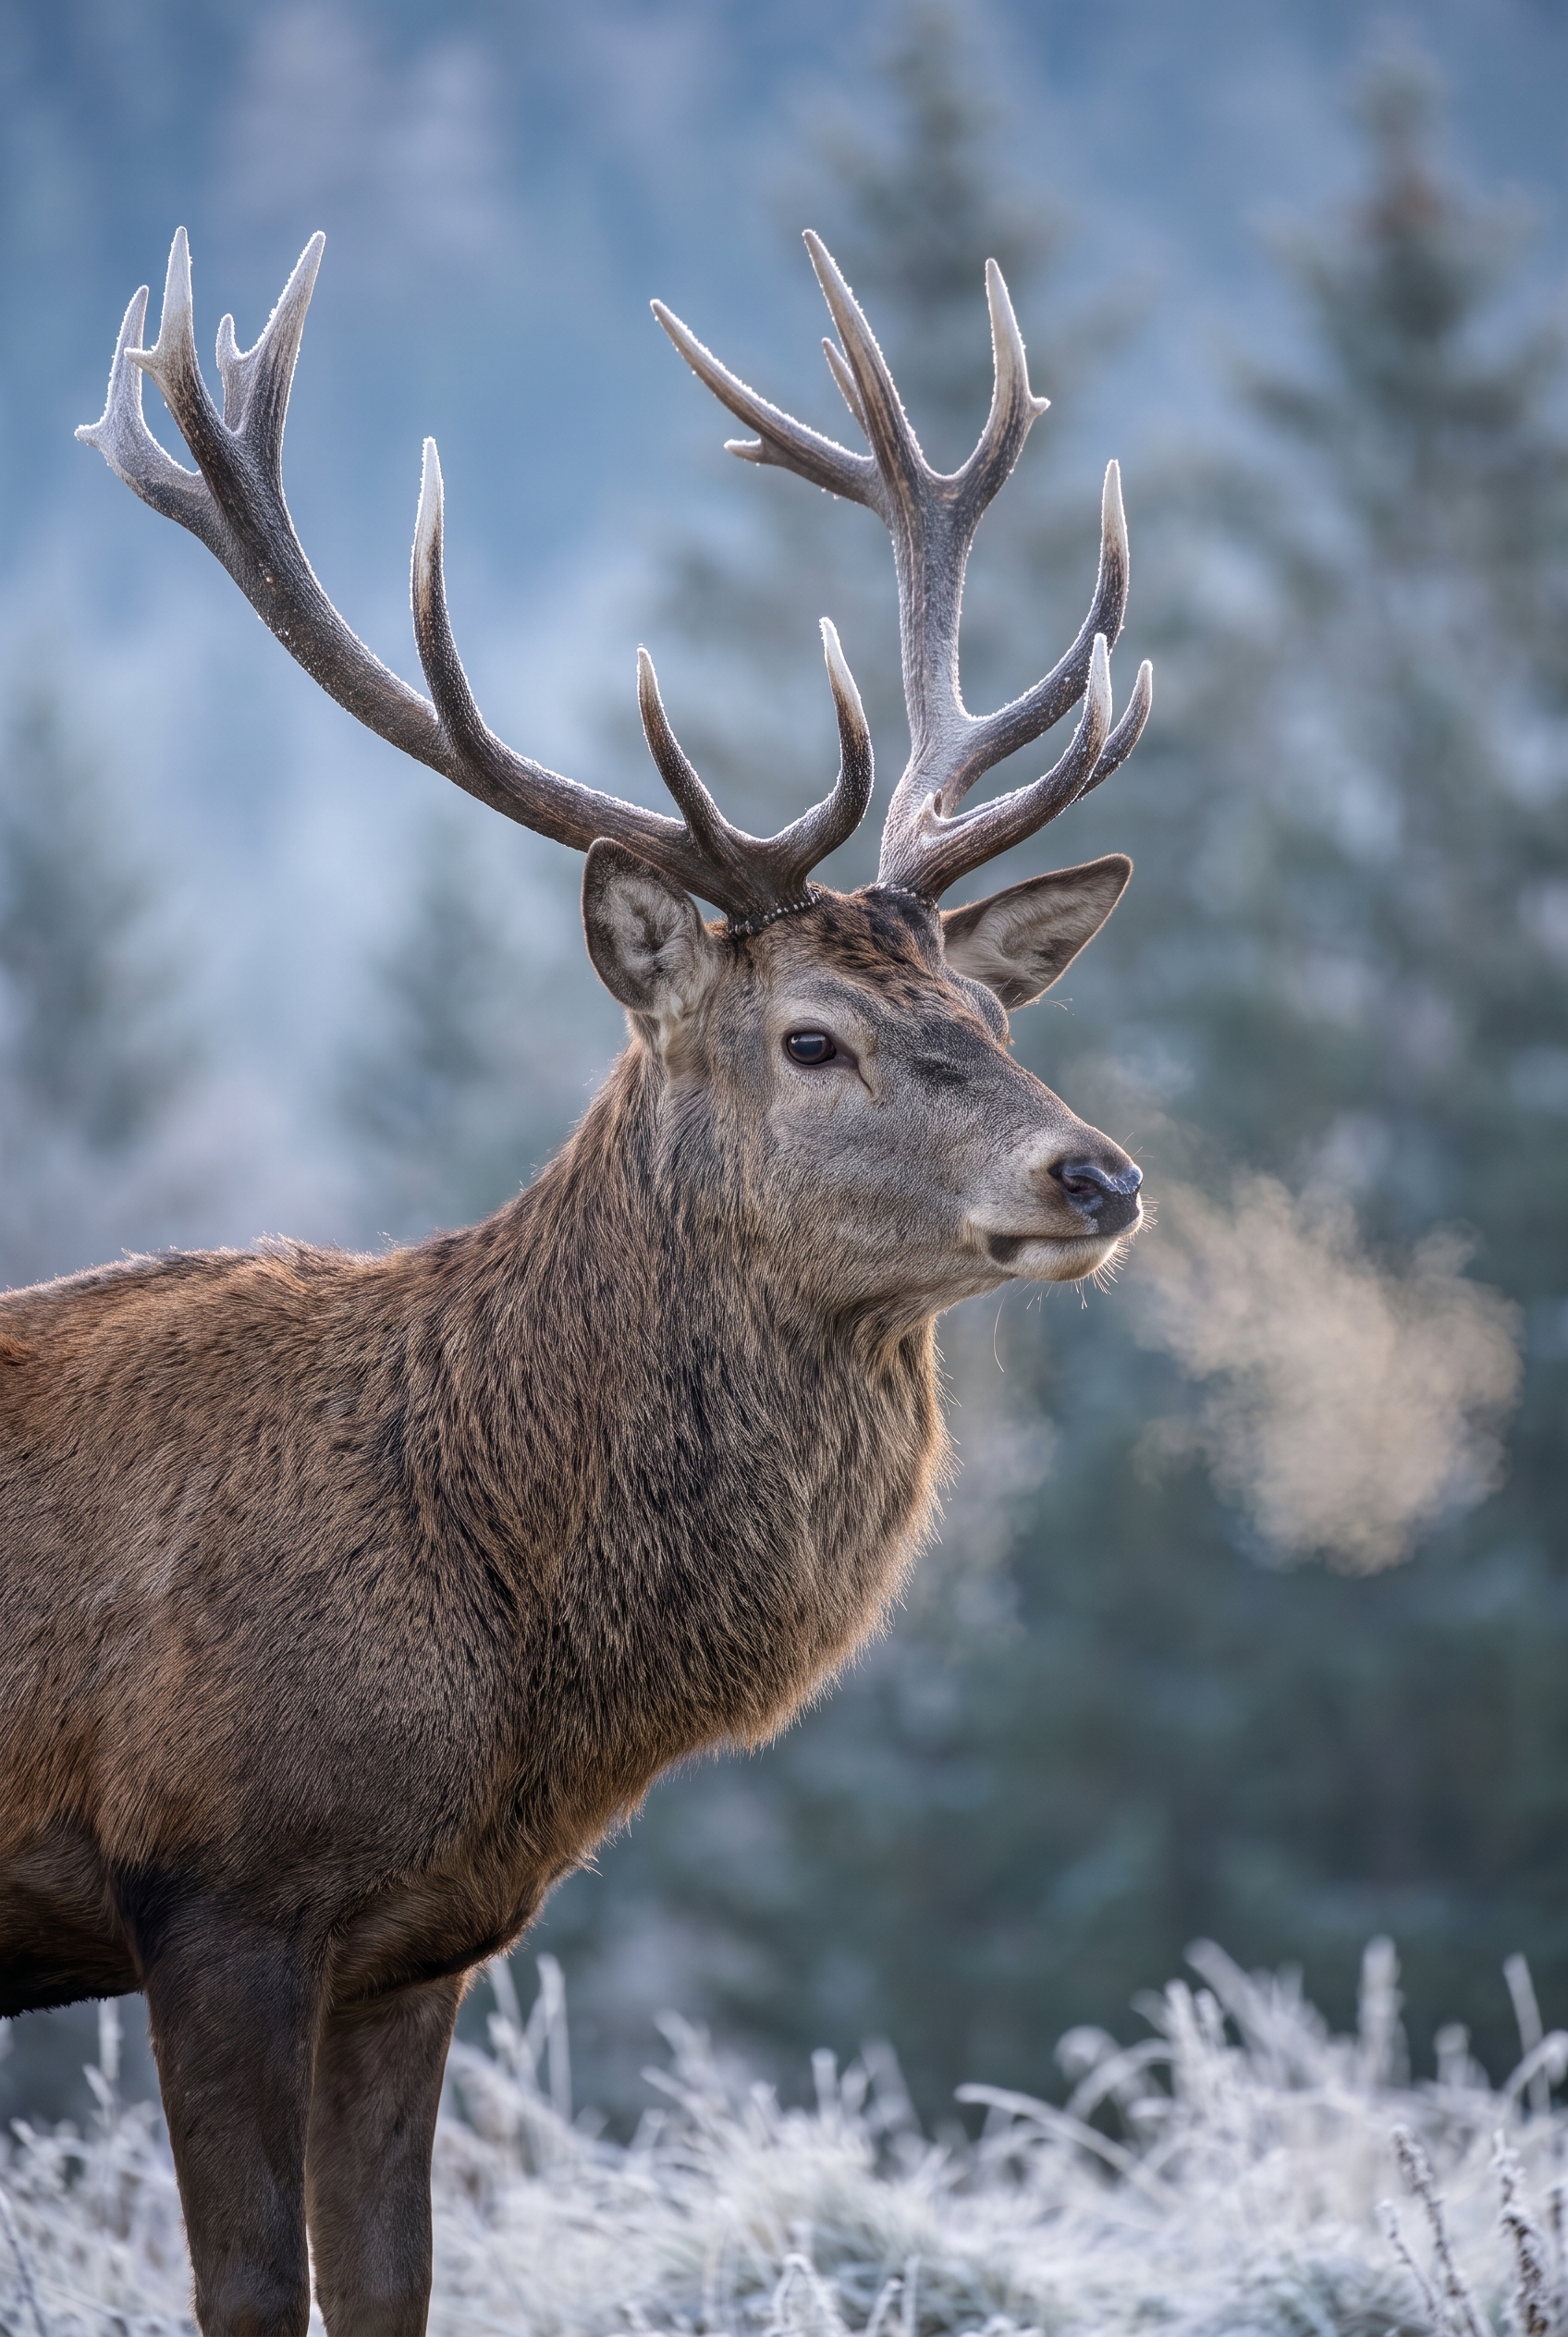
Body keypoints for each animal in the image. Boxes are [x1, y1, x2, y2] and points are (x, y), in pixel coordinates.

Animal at [1, 225, 1151, 2337]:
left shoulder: (419, 1940)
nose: (1093, 1170)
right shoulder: (210, 1882)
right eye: (808, 1039)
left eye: (986, 1011)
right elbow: (248, 2291)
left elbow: (386, 2289)